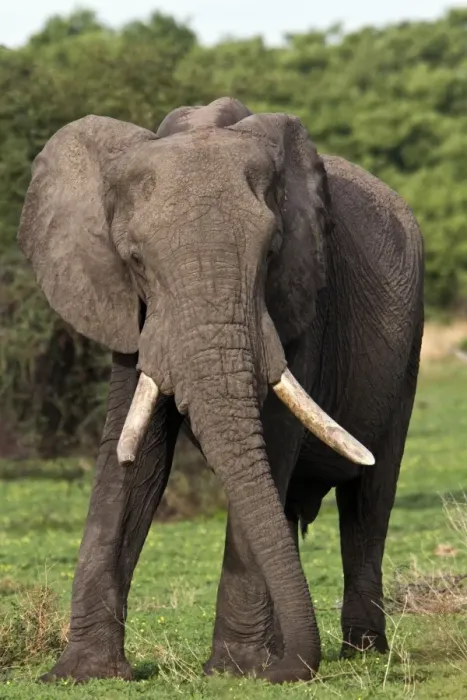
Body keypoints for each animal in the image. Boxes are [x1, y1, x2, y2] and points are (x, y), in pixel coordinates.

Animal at [17, 96, 424, 684]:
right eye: (135, 260)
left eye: (271, 251)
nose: (291, 671)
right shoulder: (127, 309)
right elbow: (134, 454)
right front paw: (82, 674)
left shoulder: (303, 296)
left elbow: (272, 440)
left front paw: (238, 670)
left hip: (408, 344)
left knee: (369, 500)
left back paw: (360, 651)